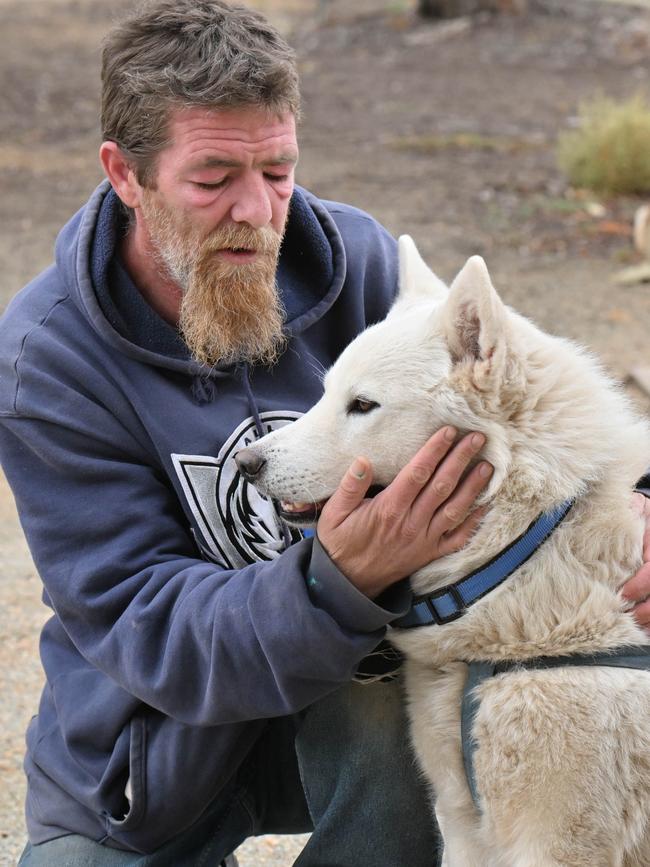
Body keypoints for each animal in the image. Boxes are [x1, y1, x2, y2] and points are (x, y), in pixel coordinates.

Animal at [240, 239, 648, 867]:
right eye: (328, 394)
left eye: (363, 405)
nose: (247, 463)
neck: (530, 545)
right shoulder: (462, 821)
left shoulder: (560, 841)